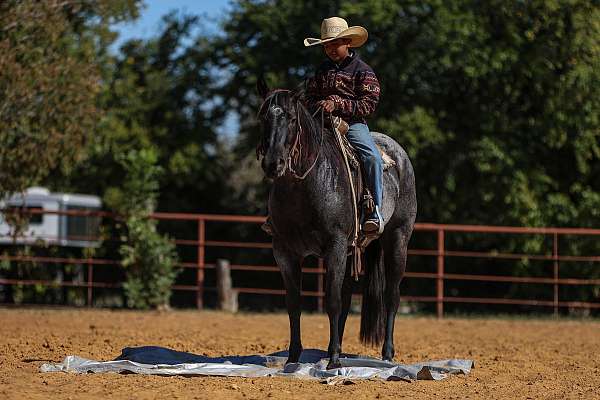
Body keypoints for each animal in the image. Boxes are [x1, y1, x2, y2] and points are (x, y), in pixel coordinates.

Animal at [254, 78, 418, 368]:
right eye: (264, 117)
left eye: (292, 118)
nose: (274, 163)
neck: (305, 185)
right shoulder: (285, 251)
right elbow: (294, 304)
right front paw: (293, 358)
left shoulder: (336, 246)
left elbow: (331, 301)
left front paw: (333, 361)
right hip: (354, 250)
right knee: (346, 299)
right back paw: (339, 348)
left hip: (398, 239)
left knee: (391, 296)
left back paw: (386, 354)